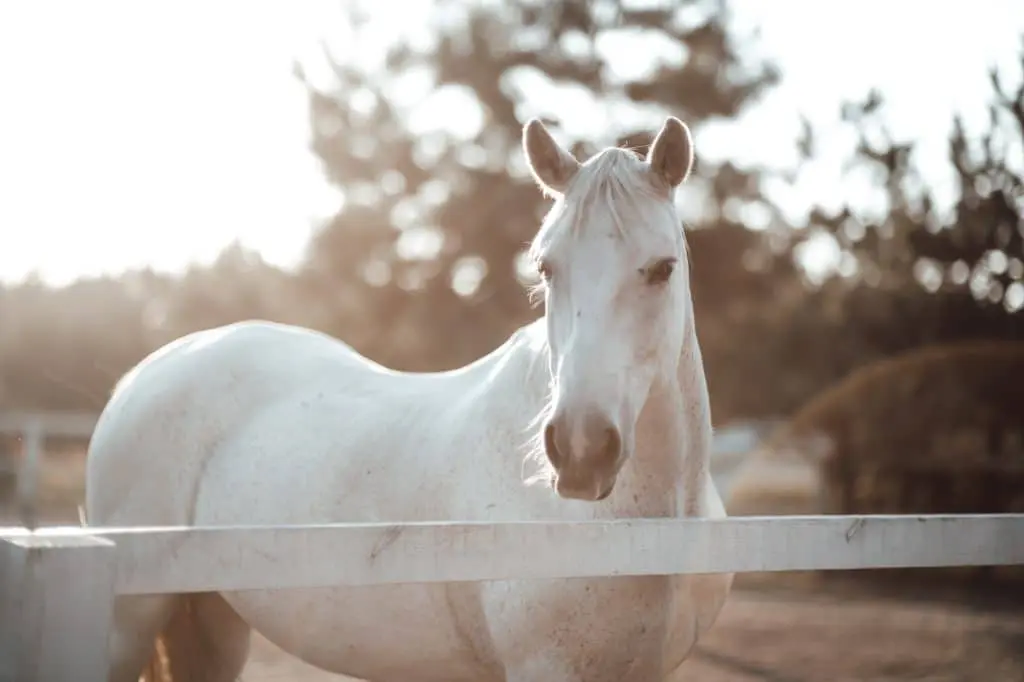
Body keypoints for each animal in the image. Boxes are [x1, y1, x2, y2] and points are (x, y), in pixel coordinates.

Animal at [85, 115, 734, 682]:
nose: (579, 449)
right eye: (547, 268)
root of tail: (146, 373)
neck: (642, 532)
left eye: (662, 268)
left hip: (213, 620)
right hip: (126, 625)